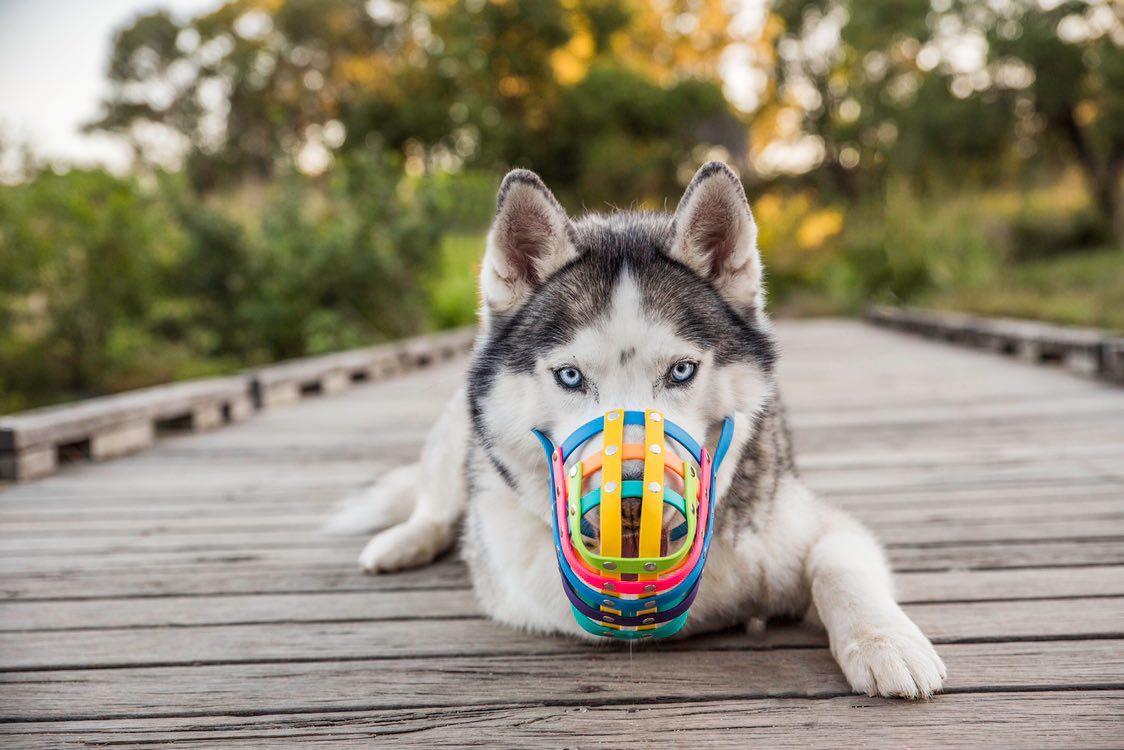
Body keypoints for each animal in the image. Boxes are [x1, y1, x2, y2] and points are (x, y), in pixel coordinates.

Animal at [328, 163, 944, 697]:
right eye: (570, 376)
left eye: (681, 371)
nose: (628, 504)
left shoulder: (816, 526)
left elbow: (837, 565)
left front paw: (887, 642)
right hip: (455, 430)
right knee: (436, 505)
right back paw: (401, 542)